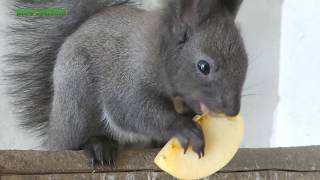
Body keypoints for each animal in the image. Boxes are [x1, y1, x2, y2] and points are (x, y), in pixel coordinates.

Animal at [5, 0, 248, 166]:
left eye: (245, 60)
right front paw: (185, 129)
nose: (232, 110)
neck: (159, 51)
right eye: (204, 66)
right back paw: (97, 145)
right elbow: (133, 111)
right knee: (75, 143)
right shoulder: (127, 79)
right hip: (76, 92)